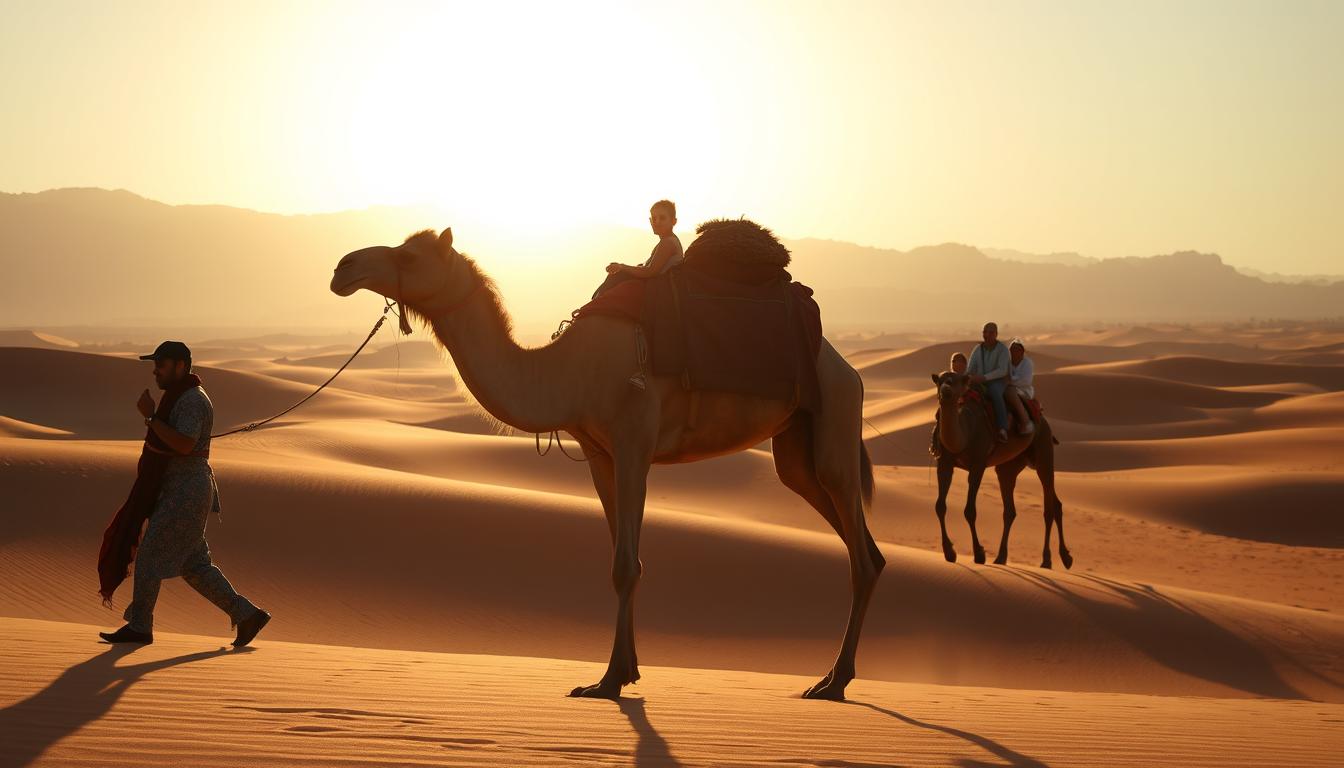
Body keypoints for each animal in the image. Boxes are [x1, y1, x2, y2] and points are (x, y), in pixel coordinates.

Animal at [330, 227, 884, 700]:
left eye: (408, 257)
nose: (342, 267)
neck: (566, 370)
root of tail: (849, 368)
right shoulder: (600, 454)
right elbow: (622, 559)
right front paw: (625, 670)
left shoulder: (634, 439)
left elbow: (626, 564)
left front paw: (610, 679)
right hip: (796, 449)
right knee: (861, 546)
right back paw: (832, 675)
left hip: (834, 416)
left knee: (858, 549)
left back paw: (834, 682)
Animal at [930, 371, 1072, 570]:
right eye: (940, 381)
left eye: (956, 381)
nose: (946, 389)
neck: (965, 432)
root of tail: (1042, 419)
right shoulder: (944, 463)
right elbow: (940, 506)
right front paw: (949, 552)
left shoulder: (978, 464)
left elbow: (969, 511)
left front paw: (979, 554)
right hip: (1009, 466)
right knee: (1013, 509)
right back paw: (1003, 557)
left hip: (1043, 452)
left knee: (1049, 505)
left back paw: (1047, 560)